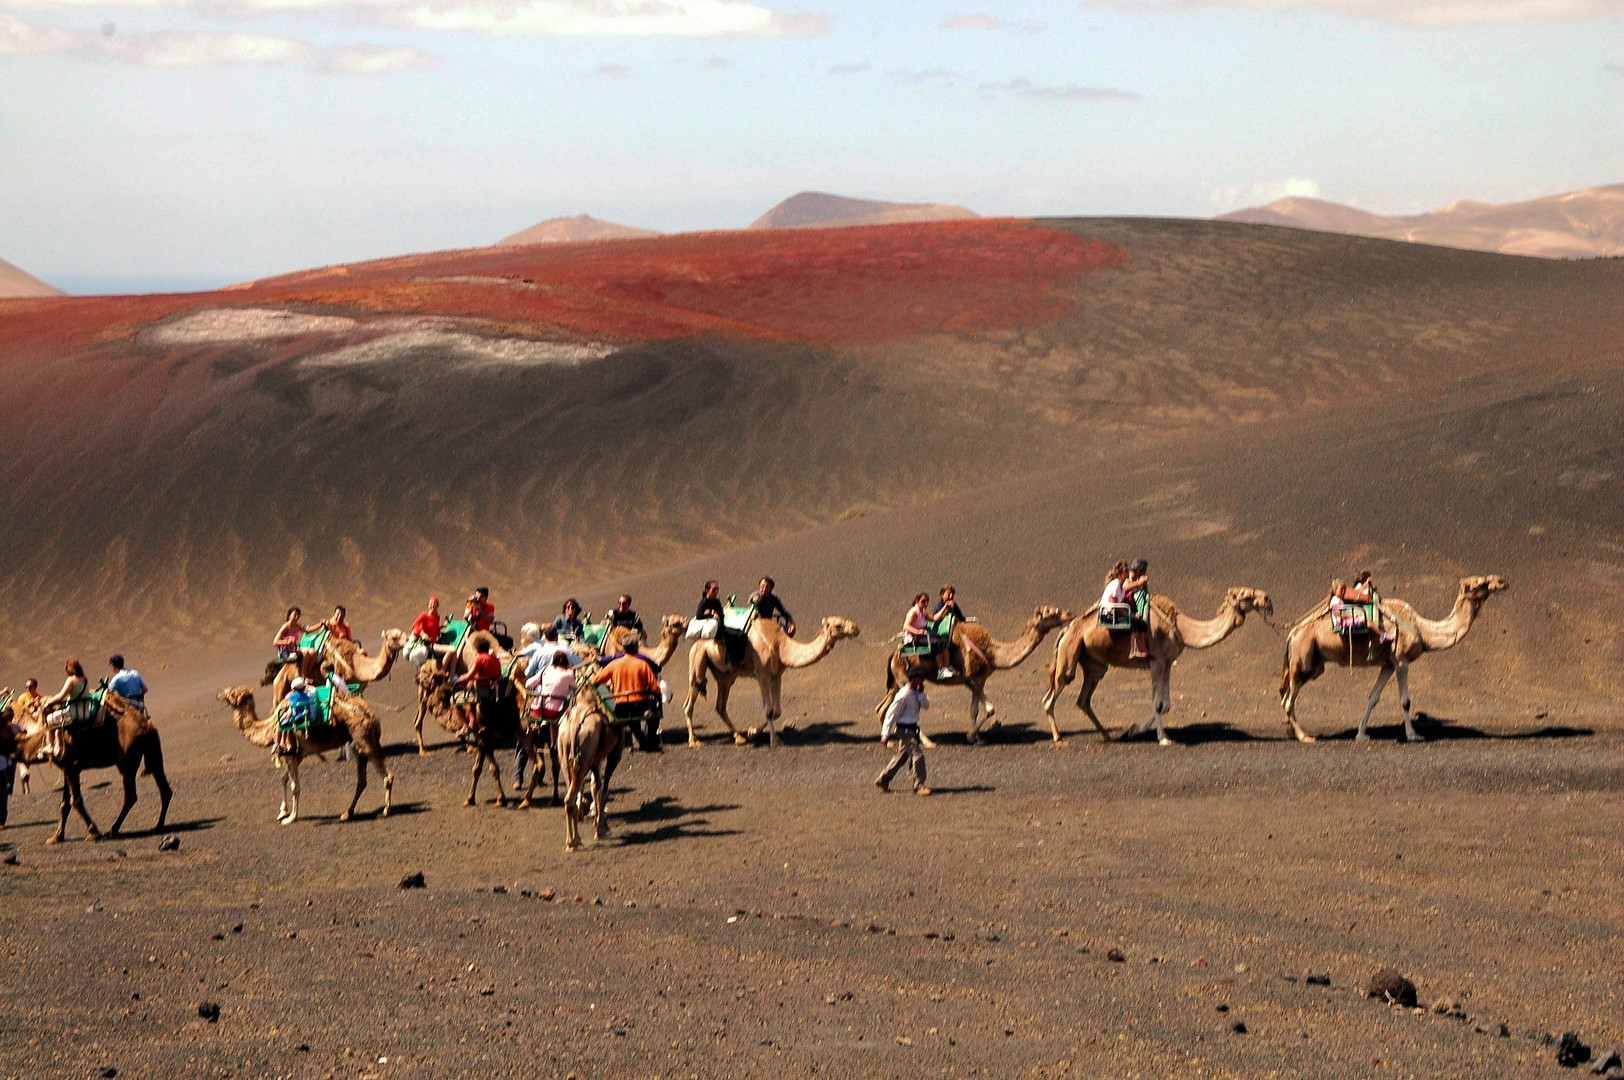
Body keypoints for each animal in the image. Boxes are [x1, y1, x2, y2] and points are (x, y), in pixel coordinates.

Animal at [219, 685, 393, 821]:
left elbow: (294, 786)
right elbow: (283, 779)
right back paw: (347, 813)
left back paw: (386, 810)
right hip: (359, 743)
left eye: (233, 694)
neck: (269, 727)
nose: (219, 695)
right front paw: (282, 811)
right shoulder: (297, 754)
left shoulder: (290, 753)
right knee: (361, 781)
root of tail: (371, 714)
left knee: (386, 775)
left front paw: (291, 817)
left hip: (364, 738)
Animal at [685, 610, 863, 747]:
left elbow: (777, 711)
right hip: (697, 661)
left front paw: (752, 732)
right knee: (690, 703)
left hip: (726, 676)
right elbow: (769, 710)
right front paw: (774, 741)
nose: (855, 628)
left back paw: (739, 737)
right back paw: (694, 741)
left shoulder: (777, 675)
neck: (780, 645)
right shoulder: (762, 675)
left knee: (720, 706)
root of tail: (695, 642)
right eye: (838, 625)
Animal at [876, 600, 1078, 747]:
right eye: (1051, 612)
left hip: (897, 681)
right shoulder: (974, 679)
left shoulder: (975, 682)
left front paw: (977, 738)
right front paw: (971, 734)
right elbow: (990, 709)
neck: (992, 652)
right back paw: (928, 742)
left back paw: (891, 740)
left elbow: (974, 710)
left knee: (883, 707)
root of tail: (894, 655)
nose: (1070, 613)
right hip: (904, 679)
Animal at [1039, 581, 1279, 740]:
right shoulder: (1155, 660)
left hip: (1094, 664)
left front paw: (1133, 729)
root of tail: (1066, 631)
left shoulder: (1167, 662)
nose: (1268, 599)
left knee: (1083, 699)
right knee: (1051, 696)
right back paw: (1058, 738)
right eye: (1246, 596)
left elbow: (1166, 705)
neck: (1180, 627)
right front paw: (1163, 738)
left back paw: (1107, 736)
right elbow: (1157, 702)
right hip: (1069, 656)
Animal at [1279, 571, 1507, 740]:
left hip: (1312, 663)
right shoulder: (1401, 660)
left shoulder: (1387, 665)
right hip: (1303, 660)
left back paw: (1292, 732)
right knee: (1288, 700)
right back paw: (1304, 736)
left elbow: (1373, 697)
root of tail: (1292, 635)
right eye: (1480, 583)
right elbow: (1405, 701)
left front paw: (1362, 735)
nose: (1502, 580)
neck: (1422, 630)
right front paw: (1414, 735)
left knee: (1286, 697)